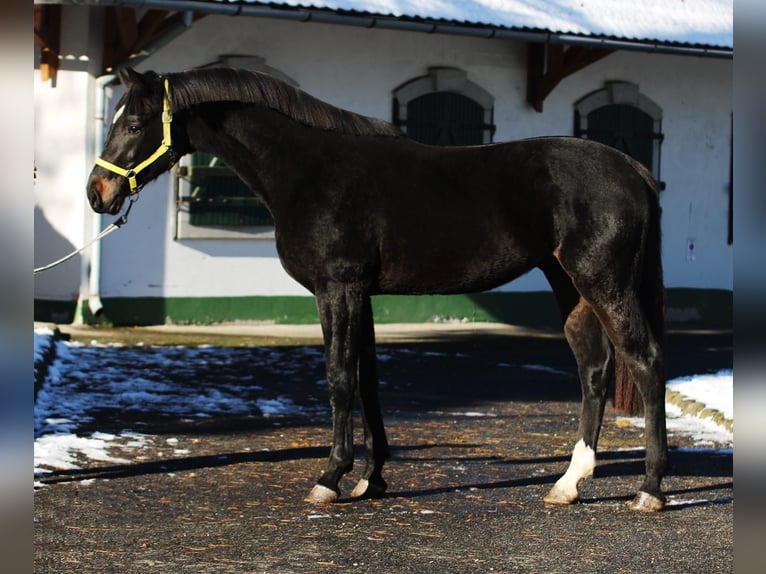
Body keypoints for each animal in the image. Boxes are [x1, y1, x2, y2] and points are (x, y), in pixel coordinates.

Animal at [87, 67, 668, 512]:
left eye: (134, 123)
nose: (98, 193)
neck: (308, 170)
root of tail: (631, 167)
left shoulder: (336, 288)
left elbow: (340, 379)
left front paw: (329, 478)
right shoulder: (360, 294)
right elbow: (368, 383)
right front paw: (371, 479)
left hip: (603, 282)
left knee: (645, 362)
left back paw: (650, 488)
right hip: (569, 285)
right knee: (593, 370)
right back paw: (569, 483)